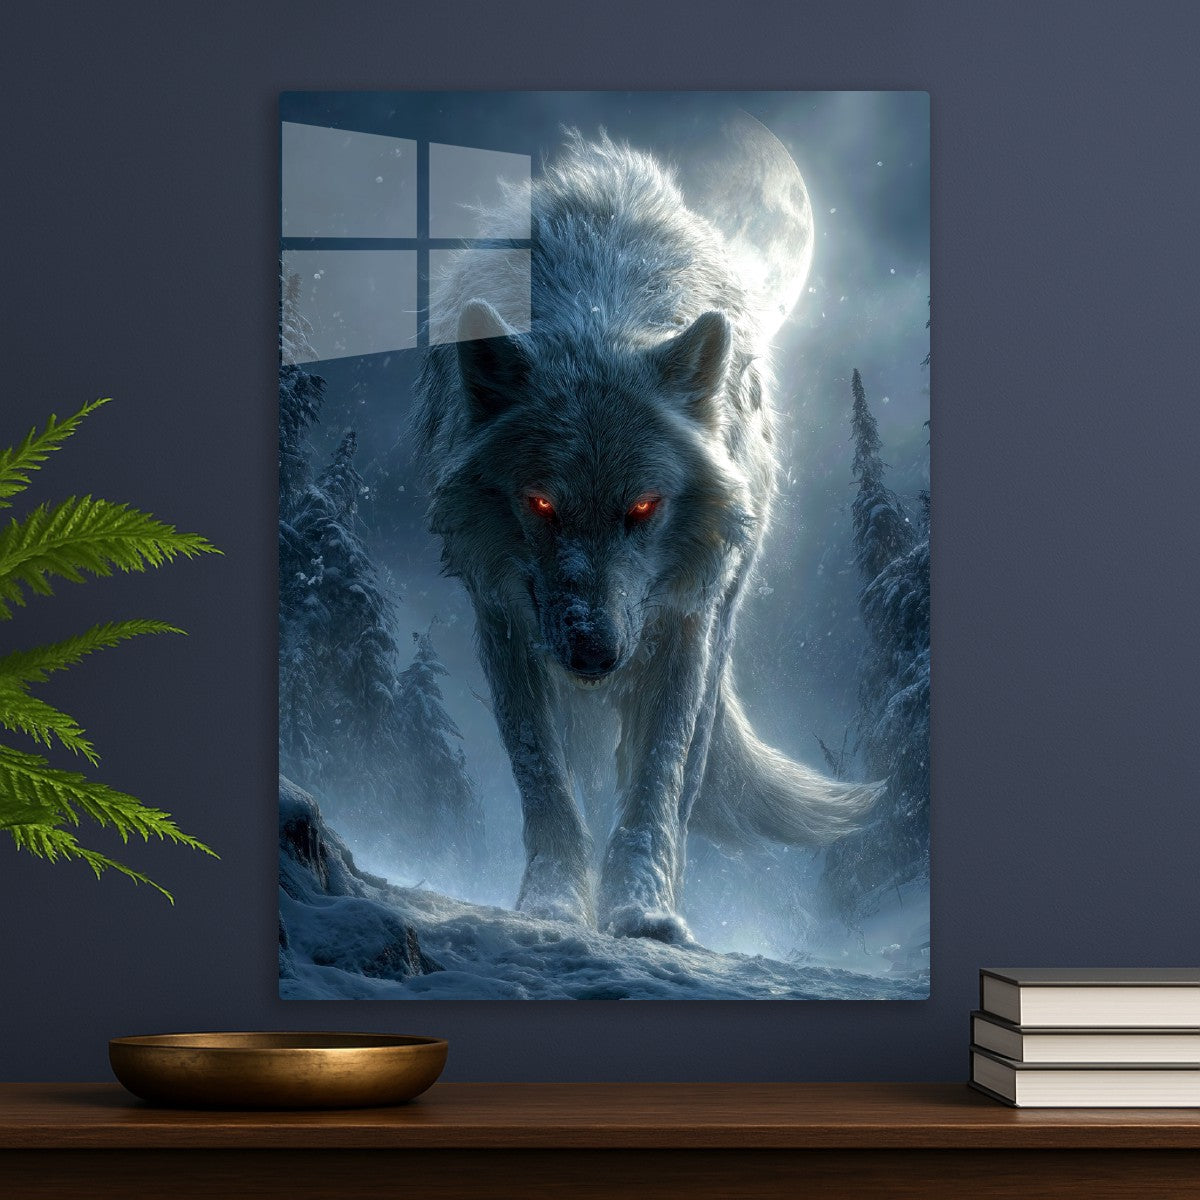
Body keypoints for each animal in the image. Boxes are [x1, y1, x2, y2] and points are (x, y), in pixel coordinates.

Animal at [414, 131, 879, 943]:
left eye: (643, 506)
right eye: (541, 501)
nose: (593, 653)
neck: (599, 300)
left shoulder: (680, 621)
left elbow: (658, 776)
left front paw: (643, 911)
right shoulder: (505, 614)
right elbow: (543, 776)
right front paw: (552, 905)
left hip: (718, 614)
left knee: (685, 771)